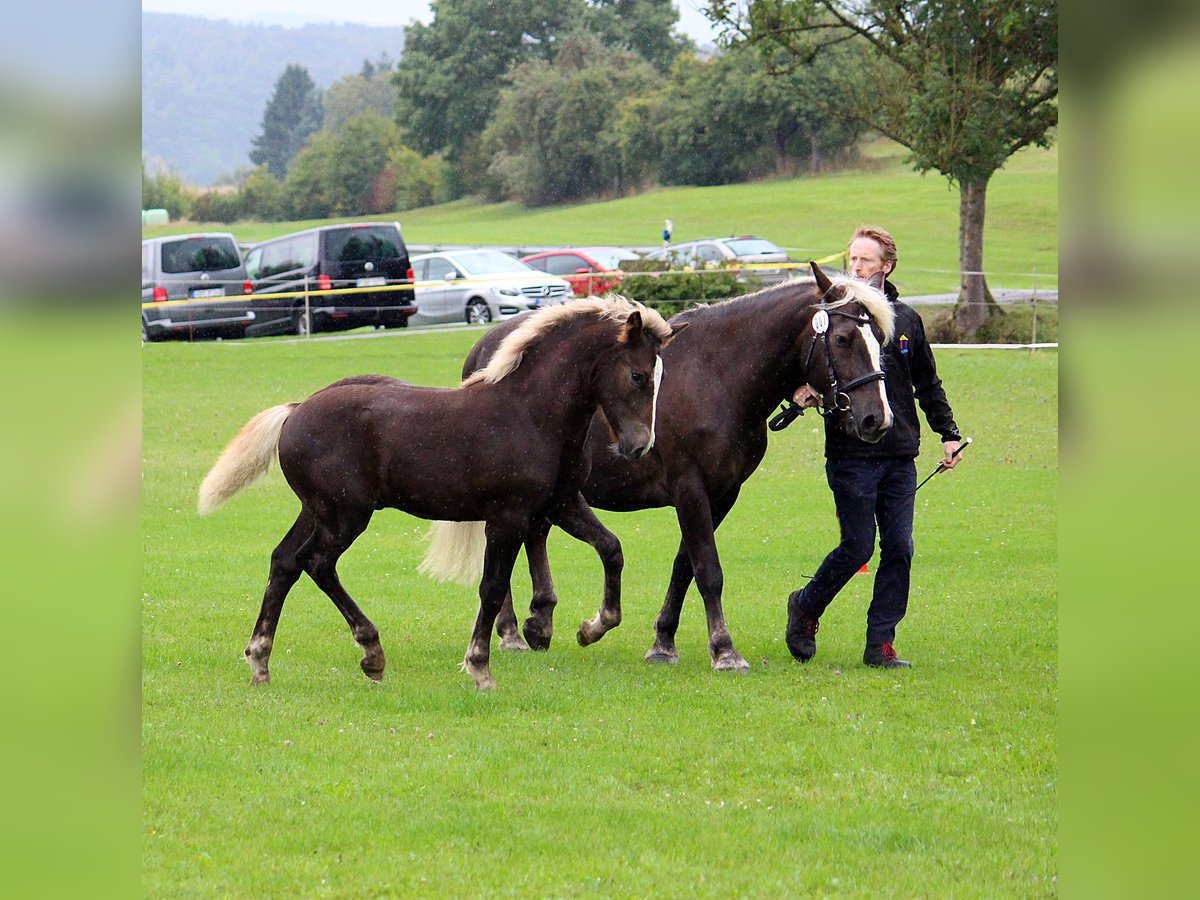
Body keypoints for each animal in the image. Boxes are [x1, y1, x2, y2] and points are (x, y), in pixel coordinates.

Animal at [197, 297, 684, 690]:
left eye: (660, 376)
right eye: (638, 375)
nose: (639, 446)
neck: (529, 414)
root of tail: (296, 410)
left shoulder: (560, 504)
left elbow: (611, 548)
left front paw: (592, 627)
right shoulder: (507, 517)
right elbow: (492, 588)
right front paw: (480, 668)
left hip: (316, 511)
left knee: (283, 563)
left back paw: (260, 661)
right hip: (345, 516)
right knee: (316, 563)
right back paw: (371, 653)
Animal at [462, 263, 895, 672]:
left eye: (880, 339)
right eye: (842, 339)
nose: (877, 418)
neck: (716, 376)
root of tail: (485, 347)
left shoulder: (721, 495)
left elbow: (685, 566)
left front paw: (663, 642)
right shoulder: (690, 490)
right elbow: (708, 570)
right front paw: (724, 650)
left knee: (534, 537)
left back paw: (539, 620)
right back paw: (511, 631)